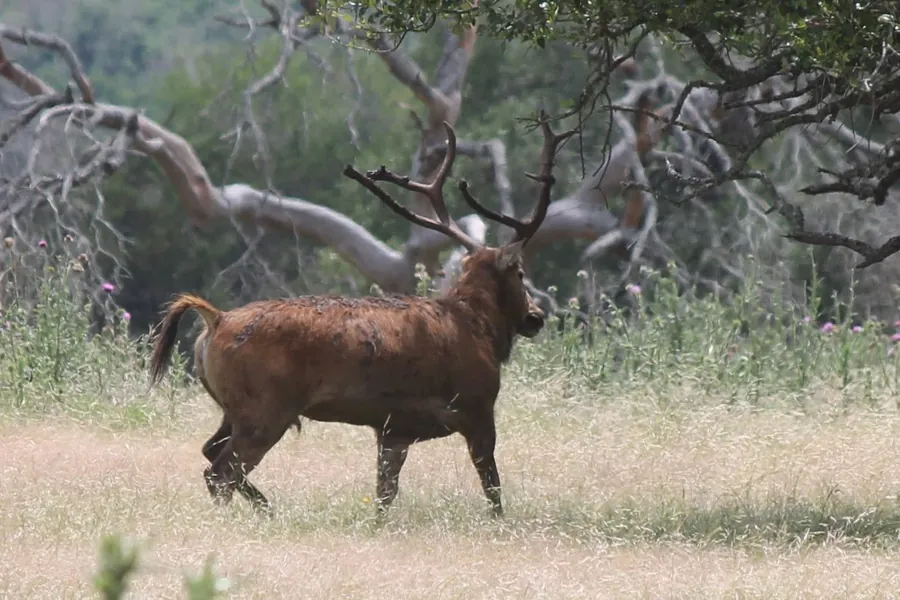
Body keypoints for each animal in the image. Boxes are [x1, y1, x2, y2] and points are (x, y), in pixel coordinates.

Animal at [148, 116, 574, 518]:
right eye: (520, 272)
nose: (535, 317)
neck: (479, 329)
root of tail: (215, 320)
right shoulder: (477, 406)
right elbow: (492, 487)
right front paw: (500, 525)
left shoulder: (393, 427)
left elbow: (385, 494)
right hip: (264, 407)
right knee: (222, 471)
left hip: (234, 409)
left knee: (211, 454)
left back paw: (268, 509)